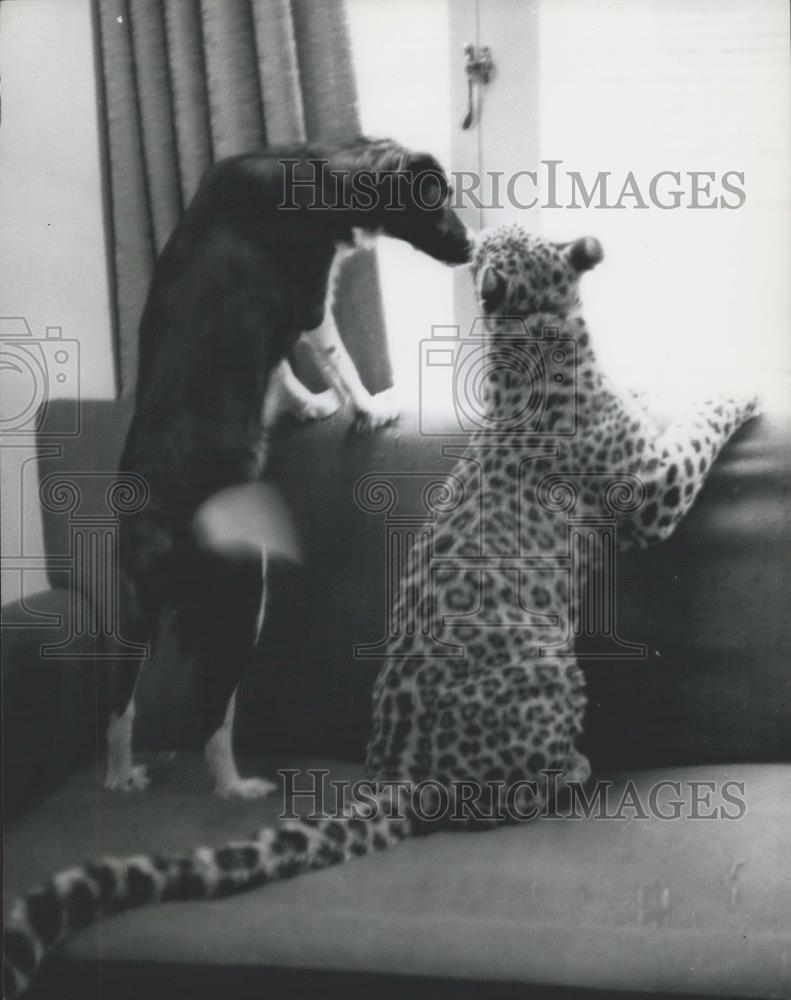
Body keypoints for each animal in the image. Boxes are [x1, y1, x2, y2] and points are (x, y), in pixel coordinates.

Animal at [108, 139, 474, 796]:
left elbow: (283, 373)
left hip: (136, 615)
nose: (473, 245)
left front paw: (309, 407)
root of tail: (152, 523)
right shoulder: (307, 302)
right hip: (241, 596)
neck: (322, 169)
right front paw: (369, 408)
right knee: (211, 711)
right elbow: (337, 362)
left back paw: (121, 776)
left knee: (119, 706)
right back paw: (236, 786)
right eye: (434, 200)